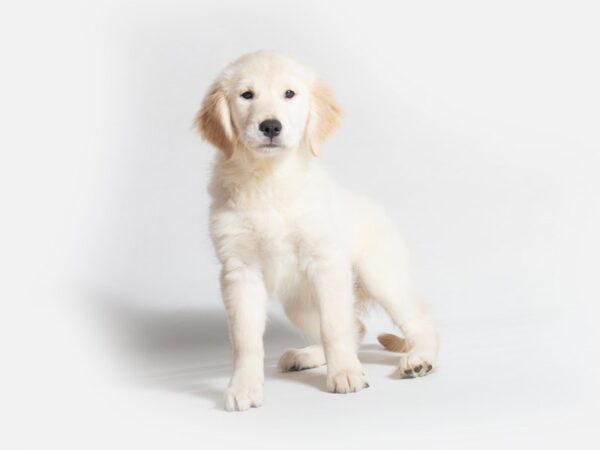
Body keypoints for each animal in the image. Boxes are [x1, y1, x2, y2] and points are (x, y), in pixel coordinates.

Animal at [199, 51, 438, 410]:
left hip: (380, 275)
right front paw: (243, 387)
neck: (269, 179)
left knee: (421, 325)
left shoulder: (326, 263)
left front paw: (345, 374)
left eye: (289, 94)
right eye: (246, 95)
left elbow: (333, 327)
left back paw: (419, 359)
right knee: (358, 327)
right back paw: (305, 355)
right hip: (296, 303)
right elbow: (245, 339)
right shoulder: (240, 271)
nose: (271, 126)